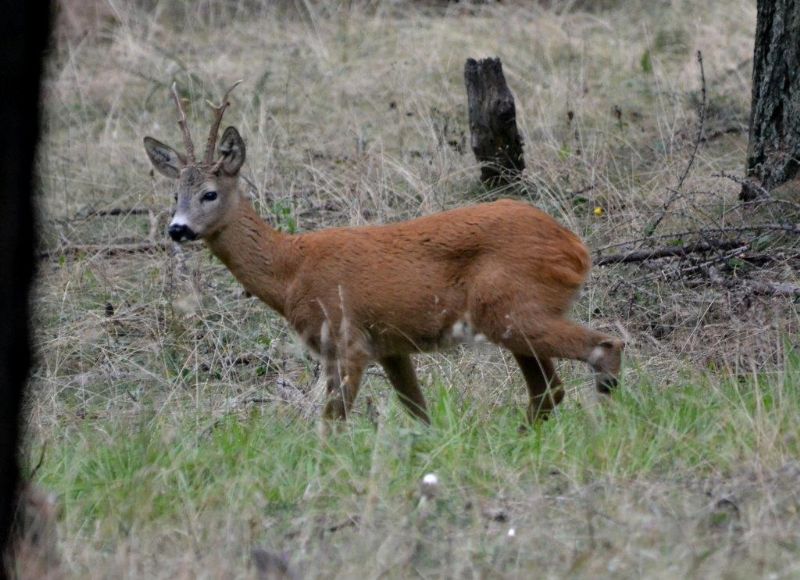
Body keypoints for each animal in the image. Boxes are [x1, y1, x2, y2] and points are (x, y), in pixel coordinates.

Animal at [144, 84, 620, 432]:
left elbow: (332, 422)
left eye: (209, 193)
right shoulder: (390, 345)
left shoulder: (346, 338)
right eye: (174, 193)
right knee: (548, 389)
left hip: (512, 306)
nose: (177, 229)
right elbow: (418, 412)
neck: (290, 270)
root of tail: (576, 248)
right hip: (510, 314)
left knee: (602, 347)